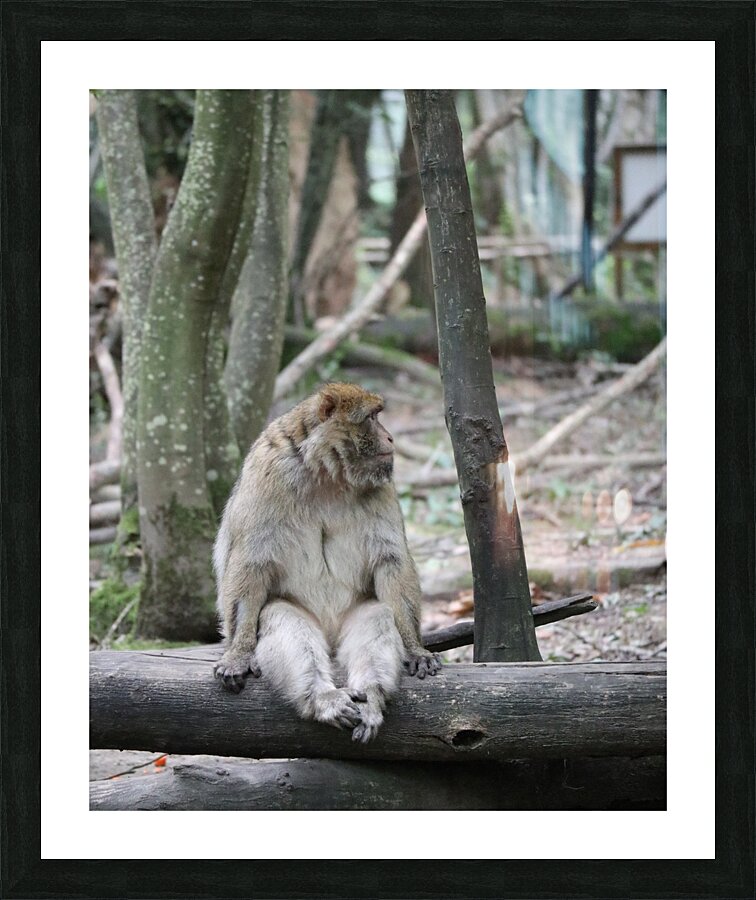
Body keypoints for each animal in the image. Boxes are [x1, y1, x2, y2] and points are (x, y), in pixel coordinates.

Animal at [213, 382, 440, 743]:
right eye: (372, 418)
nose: (391, 438)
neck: (326, 474)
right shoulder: (268, 473)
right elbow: (251, 564)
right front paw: (238, 654)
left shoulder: (382, 485)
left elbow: (390, 561)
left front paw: (415, 649)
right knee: (280, 615)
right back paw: (322, 698)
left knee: (377, 614)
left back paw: (370, 697)